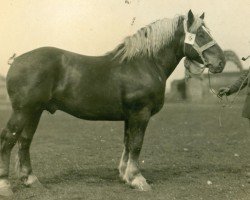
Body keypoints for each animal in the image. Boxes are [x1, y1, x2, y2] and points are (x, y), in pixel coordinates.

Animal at [0, 9, 226, 195]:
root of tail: (16, 60)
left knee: (24, 141)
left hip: (35, 111)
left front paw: (126, 176)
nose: (221, 62)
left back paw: (31, 180)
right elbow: (136, 144)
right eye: (201, 34)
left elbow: (127, 143)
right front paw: (138, 180)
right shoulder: (140, 113)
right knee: (8, 139)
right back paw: (5, 185)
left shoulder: (129, 117)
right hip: (23, 111)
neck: (144, 64)